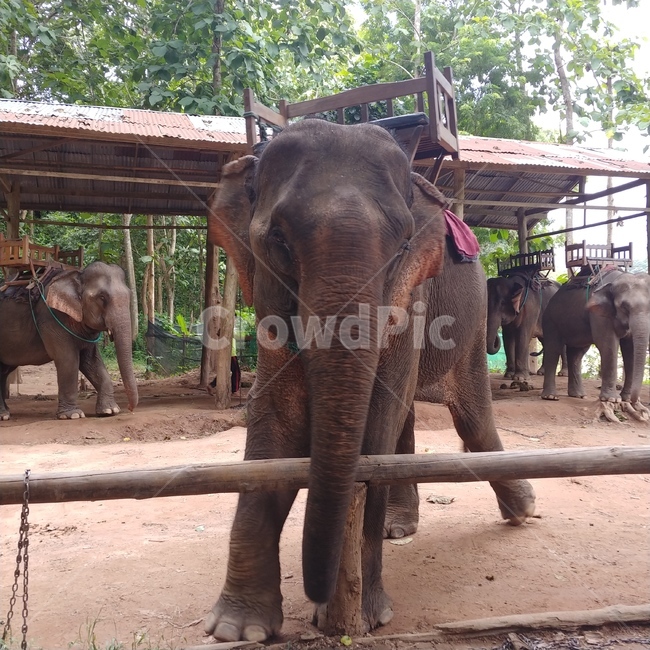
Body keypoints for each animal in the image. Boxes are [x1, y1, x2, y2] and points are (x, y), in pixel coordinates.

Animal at [0, 261, 138, 420]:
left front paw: (110, 411)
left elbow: (92, 361)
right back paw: (3, 415)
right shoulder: (51, 318)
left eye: (129, 296)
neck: (76, 275)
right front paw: (73, 415)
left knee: (4, 370)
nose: (130, 409)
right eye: (102, 297)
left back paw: (5, 412)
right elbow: (68, 359)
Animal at [204, 118, 536, 642]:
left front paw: (365, 618)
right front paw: (238, 630)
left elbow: (377, 419)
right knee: (410, 419)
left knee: (470, 418)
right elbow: (275, 417)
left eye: (402, 246)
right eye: (278, 239)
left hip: (471, 321)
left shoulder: (412, 296)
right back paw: (400, 528)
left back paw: (522, 511)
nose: (318, 597)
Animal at [540, 268, 650, 422]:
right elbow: (608, 343)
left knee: (577, 353)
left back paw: (578, 395)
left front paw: (626, 399)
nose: (635, 401)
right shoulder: (599, 314)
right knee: (553, 348)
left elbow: (631, 348)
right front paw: (612, 399)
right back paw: (550, 397)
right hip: (550, 320)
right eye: (624, 306)